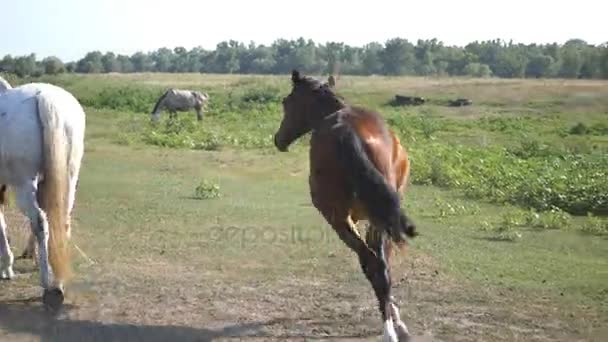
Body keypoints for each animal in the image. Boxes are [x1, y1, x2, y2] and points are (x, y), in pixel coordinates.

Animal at [0, 83, 86, 310]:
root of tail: (45, 96)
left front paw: (7, 266)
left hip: (24, 184)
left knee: (40, 221)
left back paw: (48, 285)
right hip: (69, 177)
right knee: (61, 222)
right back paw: (58, 281)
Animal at [276, 71, 418, 340]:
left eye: (286, 102)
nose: (279, 140)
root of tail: (347, 131)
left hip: (340, 219)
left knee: (373, 264)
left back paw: (390, 329)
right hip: (371, 218)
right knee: (379, 266)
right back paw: (392, 328)